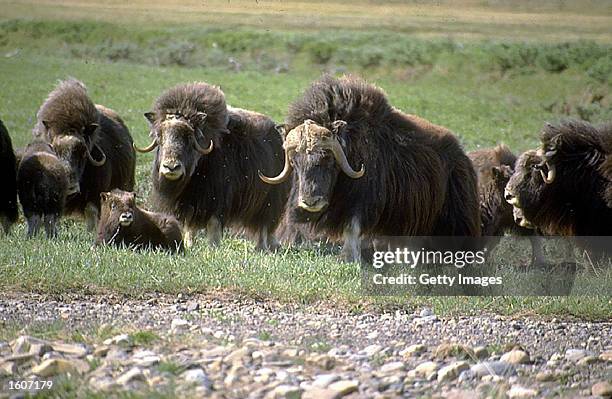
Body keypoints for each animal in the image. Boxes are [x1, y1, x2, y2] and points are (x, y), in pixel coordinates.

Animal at [135, 83, 288, 250]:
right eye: (160, 135)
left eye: (189, 136)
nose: (171, 167)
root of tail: (277, 134)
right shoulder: (189, 201)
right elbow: (190, 225)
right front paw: (189, 245)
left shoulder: (218, 197)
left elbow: (213, 223)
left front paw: (213, 247)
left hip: (269, 199)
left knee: (265, 224)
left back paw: (263, 247)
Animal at [258, 76, 478, 262]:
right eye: (294, 161)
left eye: (329, 158)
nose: (311, 201)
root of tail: (461, 155)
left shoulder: (363, 200)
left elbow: (352, 226)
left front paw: (349, 258)